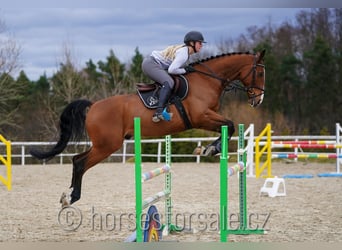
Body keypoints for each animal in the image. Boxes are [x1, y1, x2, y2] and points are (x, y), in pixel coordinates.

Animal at [30, 49, 264, 206]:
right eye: (260, 73)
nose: (258, 100)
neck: (206, 81)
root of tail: (94, 105)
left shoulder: (207, 117)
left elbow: (228, 126)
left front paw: (206, 149)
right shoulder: (201, 117)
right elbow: (230, 125)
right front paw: (209, 149)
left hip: (104, 144)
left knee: (76, 159)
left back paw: (69, 195)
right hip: (107, 145)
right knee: (80, 163)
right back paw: (73, 197)